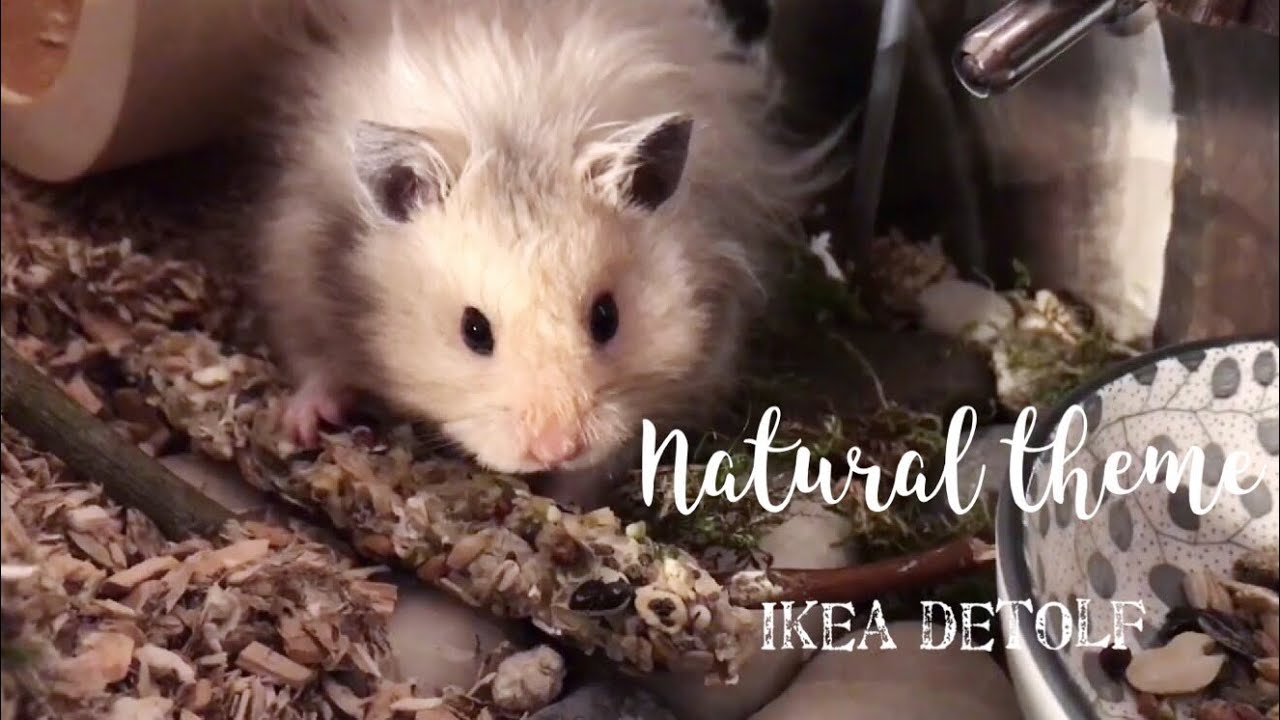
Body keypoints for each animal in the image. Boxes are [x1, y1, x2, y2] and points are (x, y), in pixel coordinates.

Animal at [250, 0, 842, 503]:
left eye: (606, 318)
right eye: (473, 330)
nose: (556, 449)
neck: (521, 137)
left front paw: (569, 499)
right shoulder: (299, 264)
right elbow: (317, 362)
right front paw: (301, 426)